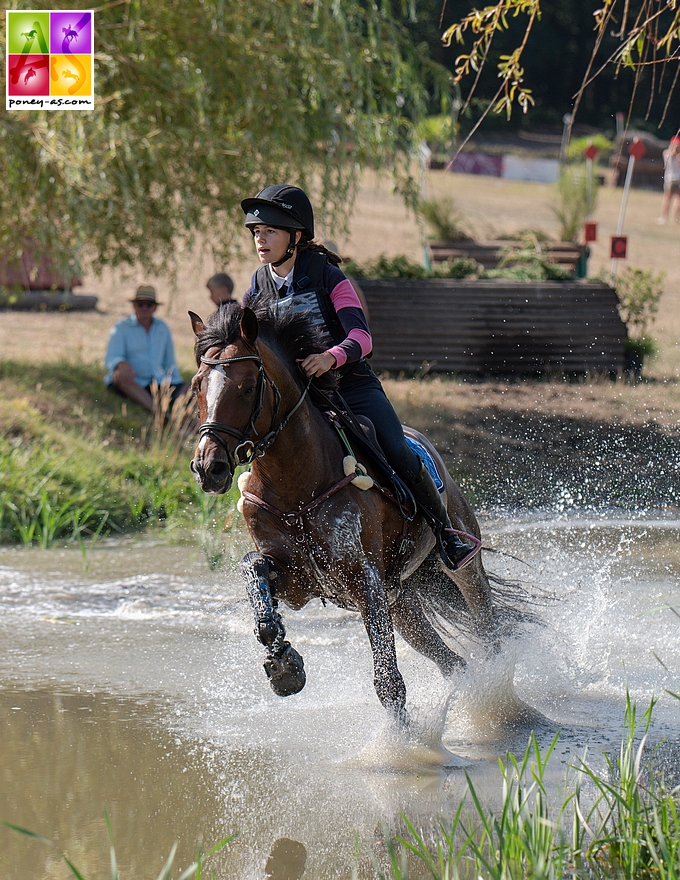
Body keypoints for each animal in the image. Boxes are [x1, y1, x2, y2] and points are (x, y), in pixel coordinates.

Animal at [186, 306, 516, 724]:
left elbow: (389, 684)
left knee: (487, 625)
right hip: (401, 598)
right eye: (197, 384)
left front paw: (400, 741)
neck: (297, 488)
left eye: (247, 386)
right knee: (452, 662)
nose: (207, 468)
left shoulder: (364, 581)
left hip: (459, 563)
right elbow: (252, 569)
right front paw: (283, 664)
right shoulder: (298, 582)